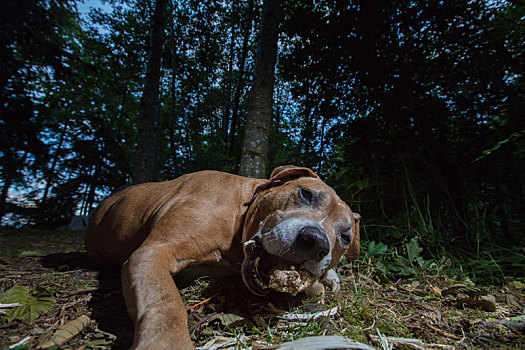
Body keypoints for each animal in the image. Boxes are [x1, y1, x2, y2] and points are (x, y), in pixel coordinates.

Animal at [86, 165, 360, 348]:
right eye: (306, 194)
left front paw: (324, 280)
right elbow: (166, 303)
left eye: (346, 237)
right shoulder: (154, 252)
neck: (241, 210)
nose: (316, 242)